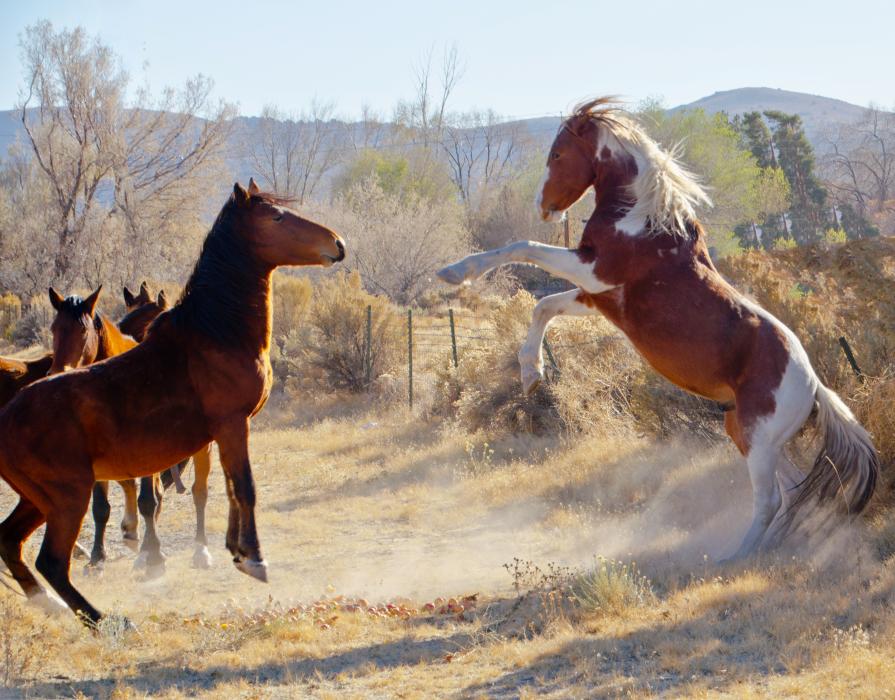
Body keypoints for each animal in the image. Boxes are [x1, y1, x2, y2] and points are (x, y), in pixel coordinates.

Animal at [0, 179, 344, 625]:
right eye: (276, 217)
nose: (337, 243)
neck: (215, 333)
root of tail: (6, 415)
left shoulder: (221, 434)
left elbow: (225, 487)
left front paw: (233, 551)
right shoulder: (234, 424)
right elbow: (245, 487)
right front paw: (254, 560)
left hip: (37, 499)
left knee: (10, 541)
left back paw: (50, 604)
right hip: (67, 497)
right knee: (52, 561)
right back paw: (106, 620)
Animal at [437, 98, 879, 560]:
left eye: (557, 155)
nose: (544, 207)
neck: (641, 220)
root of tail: (814, 386)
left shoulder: (592, 270)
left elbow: (523, 247)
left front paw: (455, 272)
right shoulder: (596, 296)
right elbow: (543, 306)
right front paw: (531, 373)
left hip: (758, 440)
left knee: (771, 499)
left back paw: (736, 556)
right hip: (749, 435)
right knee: (791, 492)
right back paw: (770, 549)